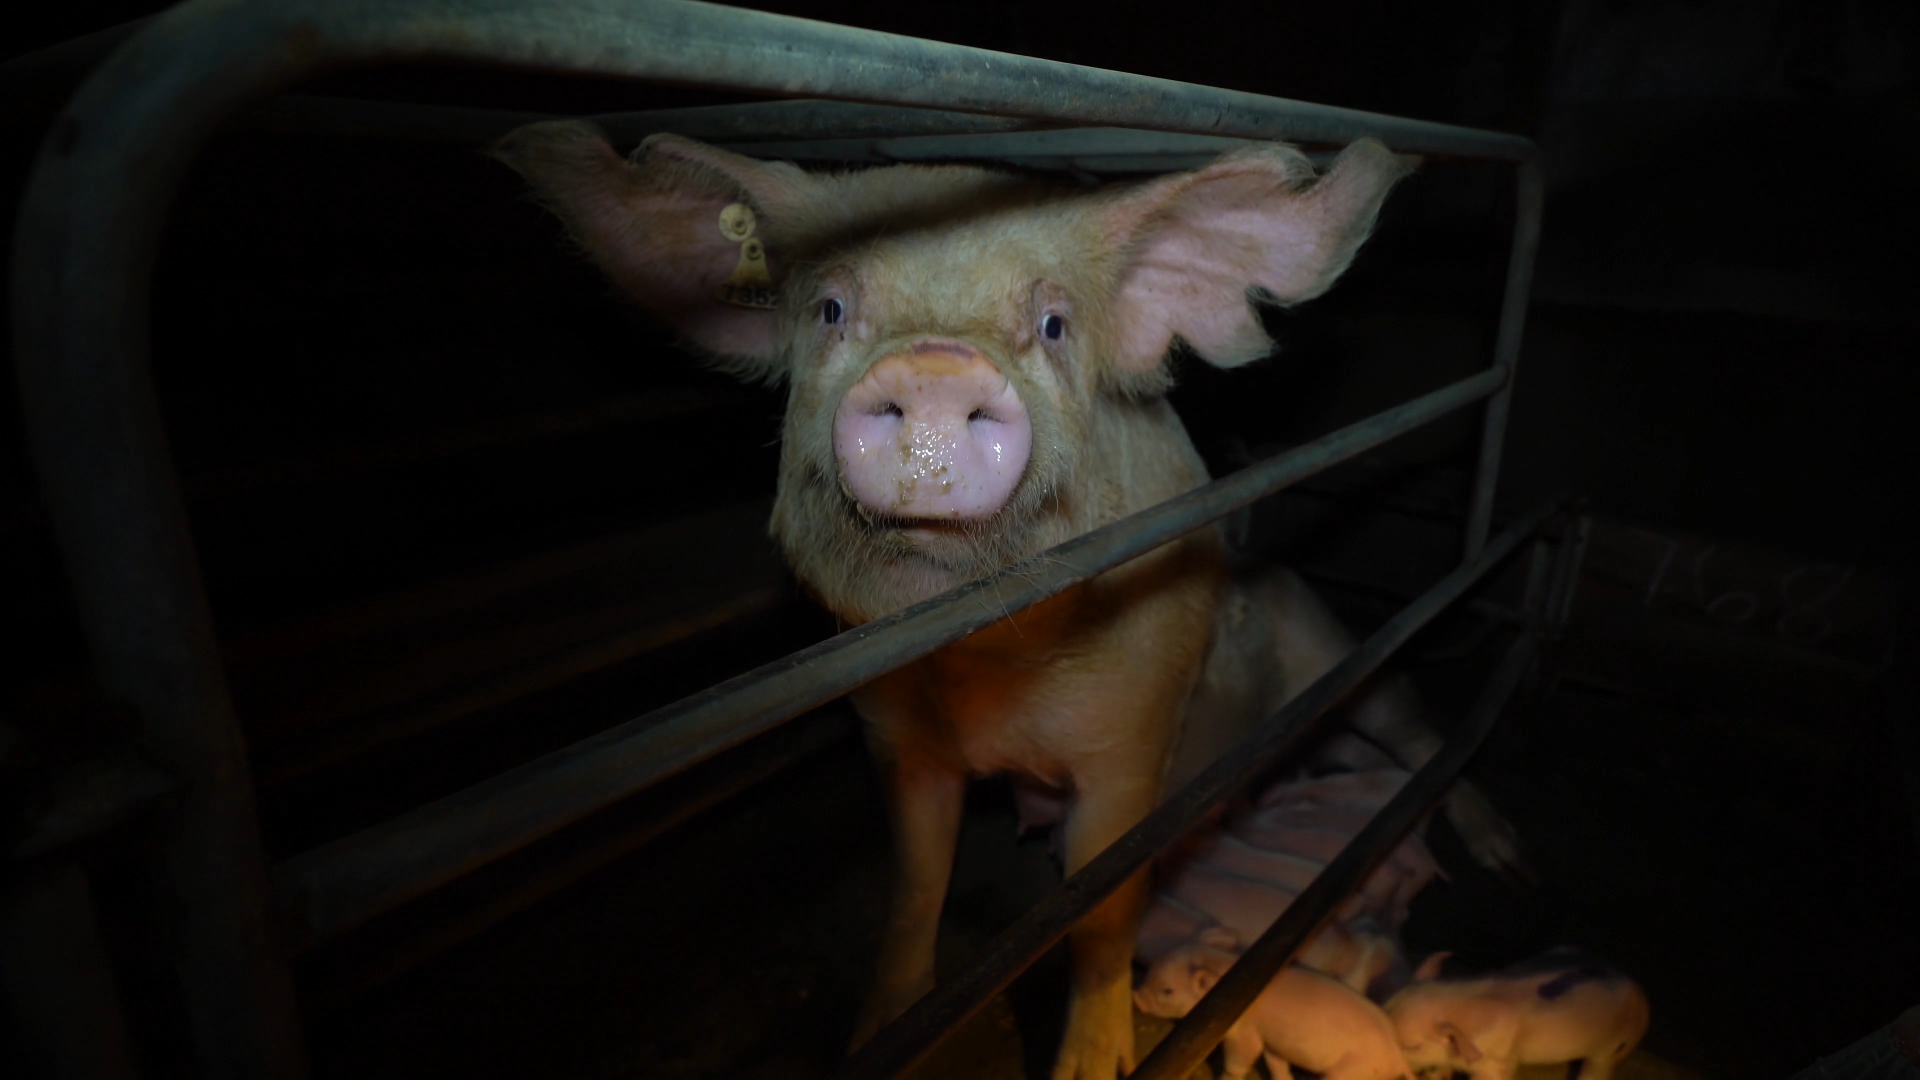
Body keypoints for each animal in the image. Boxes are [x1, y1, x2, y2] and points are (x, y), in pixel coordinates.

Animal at [1128, 926, 1420, 1076]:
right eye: (1152, 966)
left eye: (1167, 991)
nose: (1136, 996)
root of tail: (1397, 1056)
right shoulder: (1272, 1040)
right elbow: (1274, 1062)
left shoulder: (1244, 1032)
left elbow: (1243, 1058)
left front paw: (1225, 1075)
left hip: (1351, 1071)